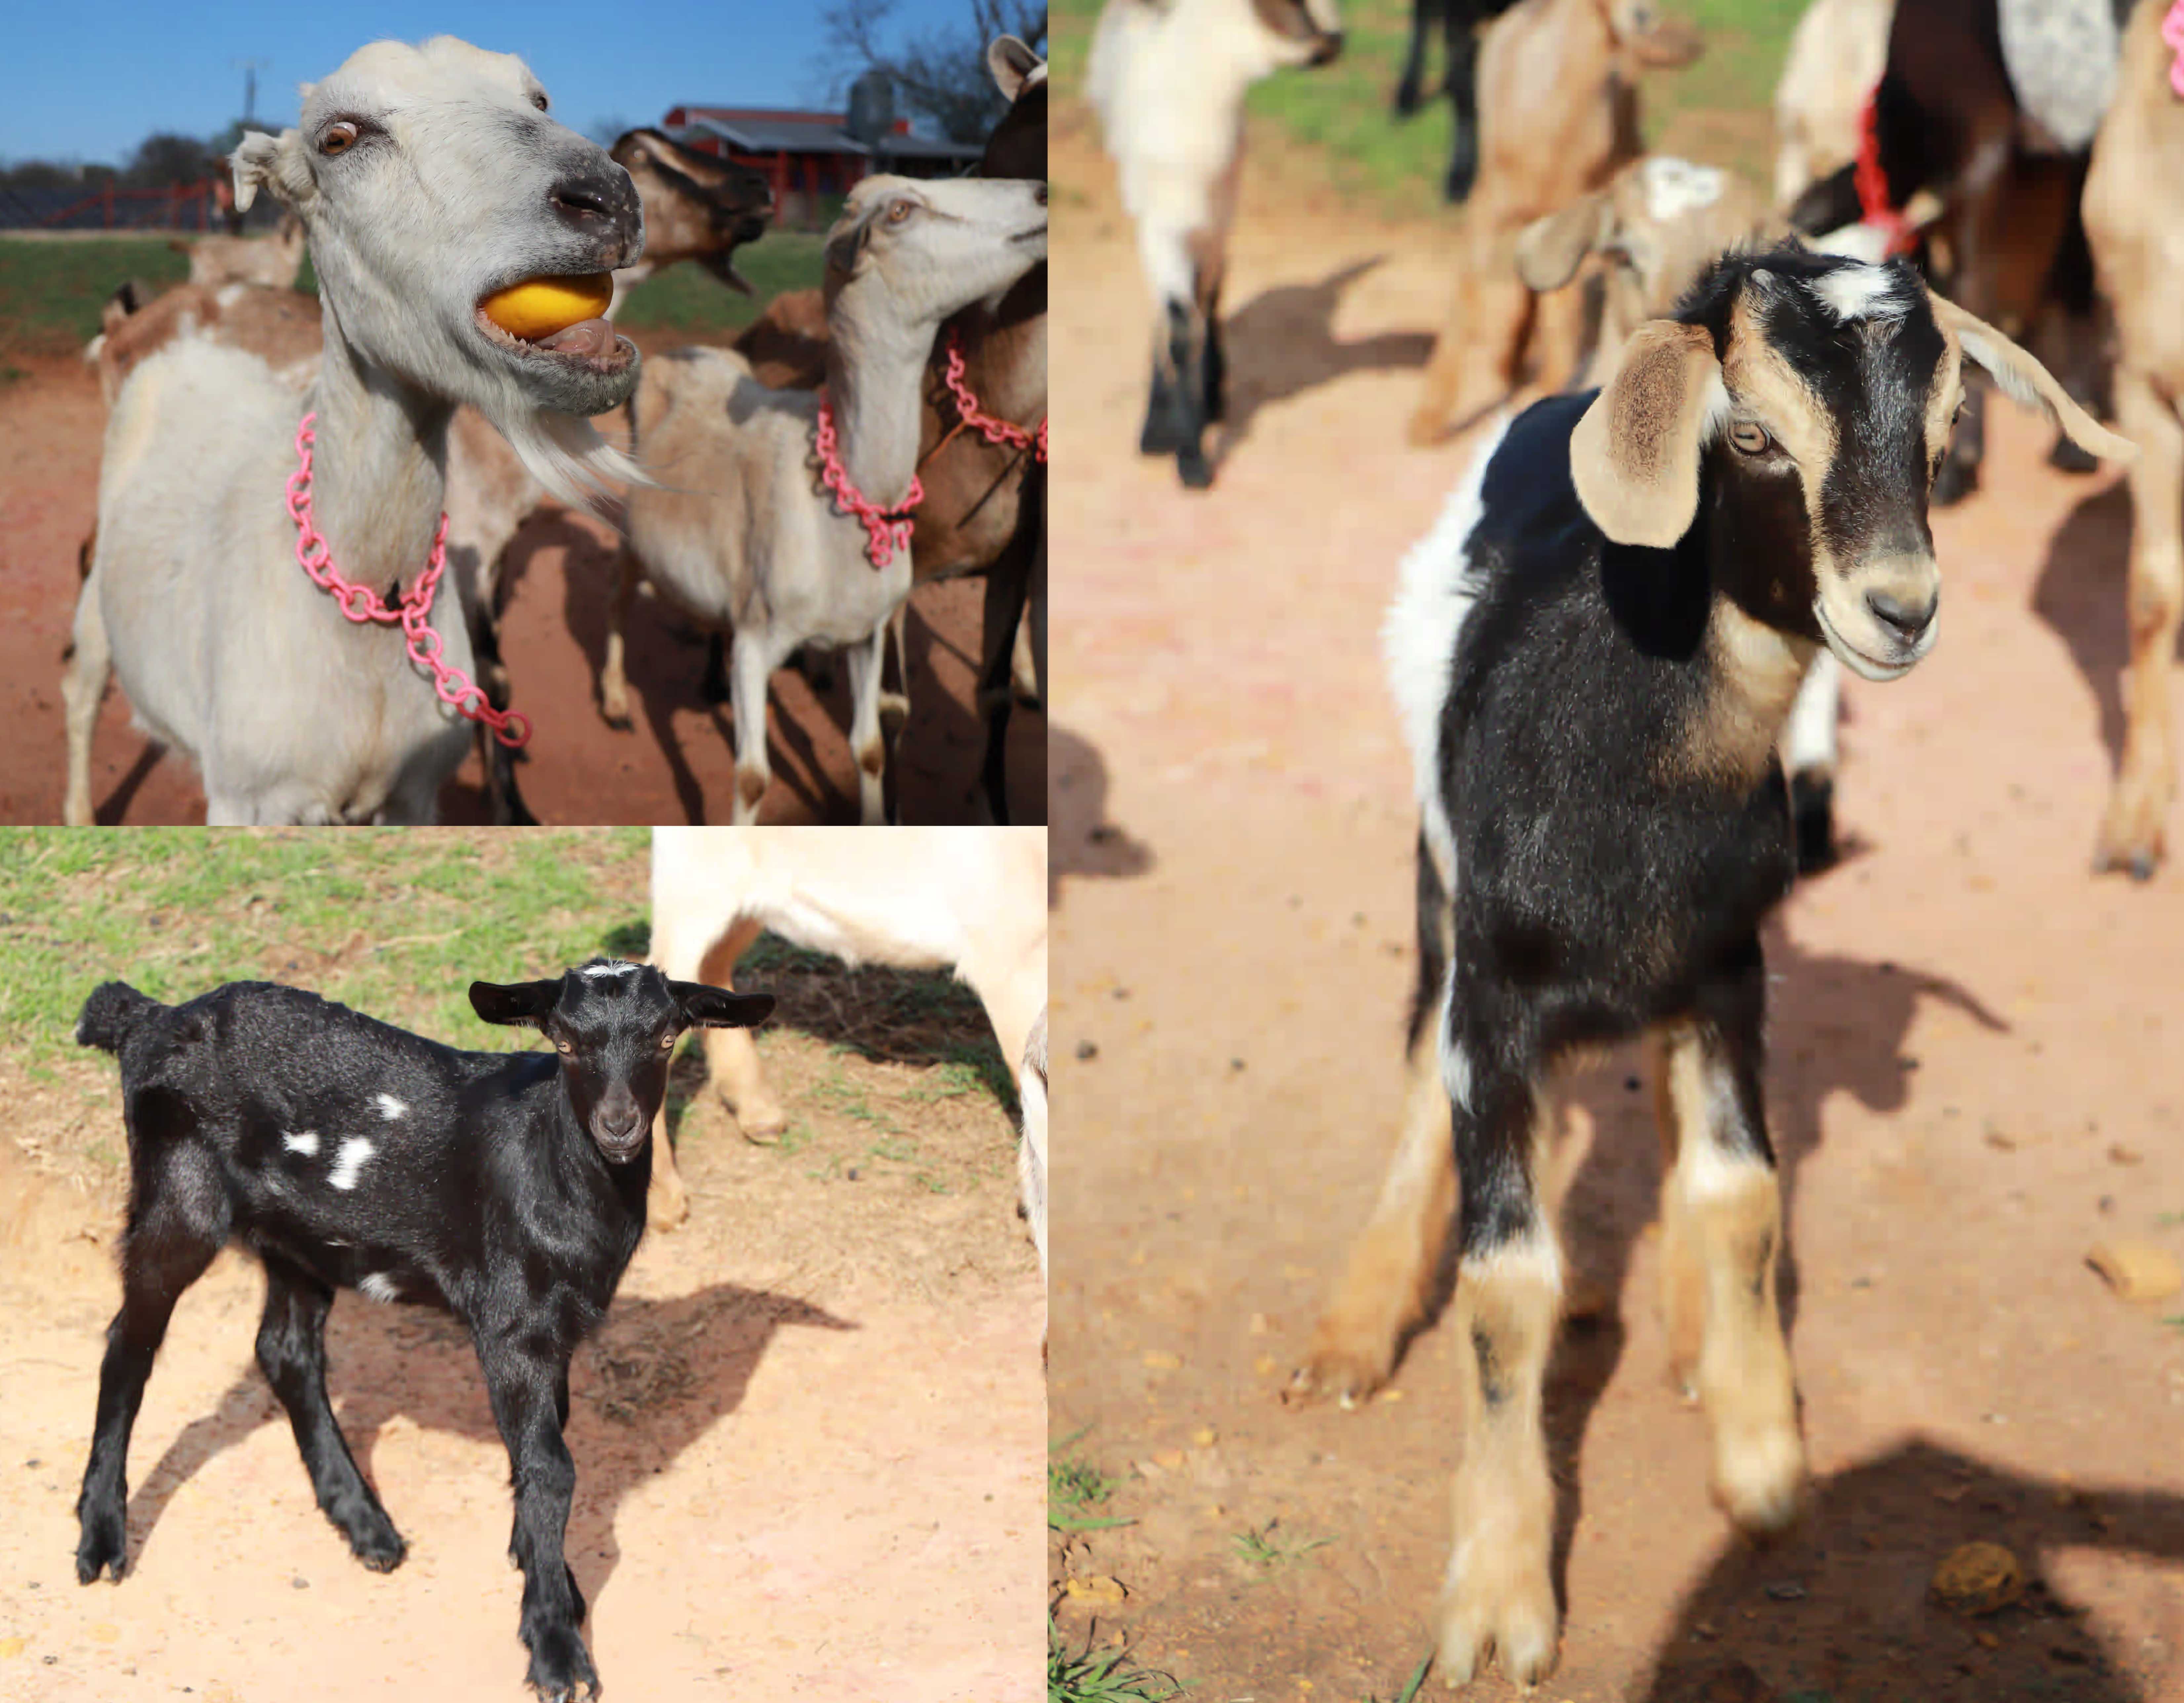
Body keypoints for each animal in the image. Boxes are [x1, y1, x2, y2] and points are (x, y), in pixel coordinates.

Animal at [70, 962, 771, 1702]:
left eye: (667, 1037)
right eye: (565, 1043)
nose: (619, 1125)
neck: (555, 1165)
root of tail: (148, 1018)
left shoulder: (556, 1329)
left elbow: (541, 1448)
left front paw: (543, 1572)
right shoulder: (511, 1323)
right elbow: (551, 1469)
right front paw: (555, 1646)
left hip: (301, 1238)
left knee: (285, 1349)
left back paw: (364, 1522)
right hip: (181, 1194)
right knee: (129, 1342)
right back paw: (103, 1534)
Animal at [1089, 0, 1344, 489]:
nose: (1336, 42)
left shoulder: (1212, 224)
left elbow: (1200, 310)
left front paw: (1190, 446)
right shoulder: (1157, 230)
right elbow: (1175, 326)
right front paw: (1173, 447)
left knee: (1212, 297)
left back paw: (1212, 397)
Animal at [1289, 248, 2130, 1683]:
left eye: (1946, 428)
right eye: (1749, 437)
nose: (1898, 610)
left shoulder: (1730, 967)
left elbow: (1740, 1192)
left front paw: (1760, 1455)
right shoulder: (1495, 1006)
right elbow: (1504, 1281)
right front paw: (1497, 1597)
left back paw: (1688, 1320)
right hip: (1435, 889)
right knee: (1413, 1060)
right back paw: (1354, 1329)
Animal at [1407, 0, 1703, 447]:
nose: (1643, 17)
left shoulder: (1571, 212)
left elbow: (1563, 312)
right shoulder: (1487, 206)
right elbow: (1469, 295)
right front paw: (1429, 419)